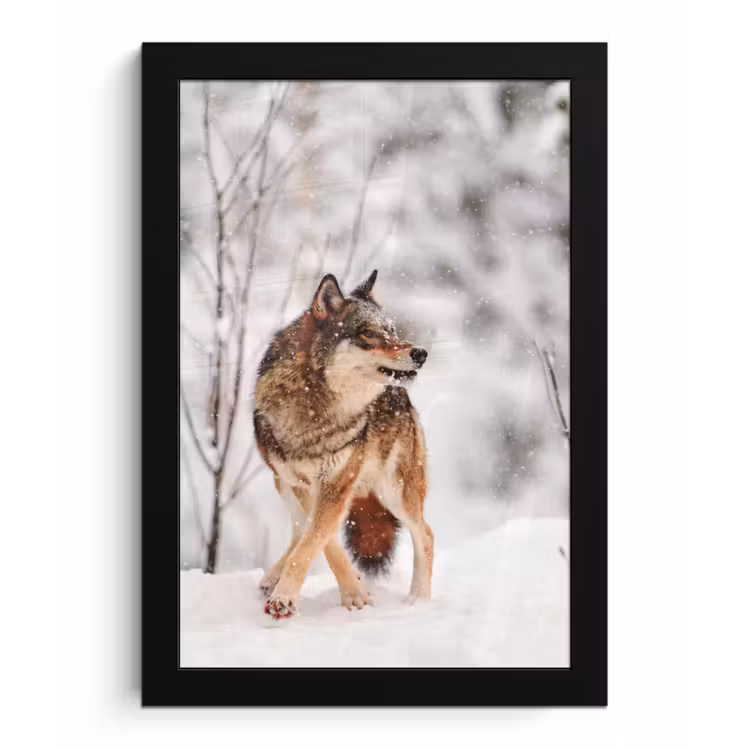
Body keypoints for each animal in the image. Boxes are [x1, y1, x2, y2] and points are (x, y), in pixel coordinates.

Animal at [253, 270, 433, 619]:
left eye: (392, 331)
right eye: (368, 334)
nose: (420, 353)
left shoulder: (336, 484)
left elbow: (314, 542)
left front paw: (288, 598)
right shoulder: (305, 485)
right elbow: (321, 542)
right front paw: (354, 592)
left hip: (395, 492)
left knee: (426, 534)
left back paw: (419, 601)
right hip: (282, 483)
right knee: (298, 530)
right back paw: (271, 577)